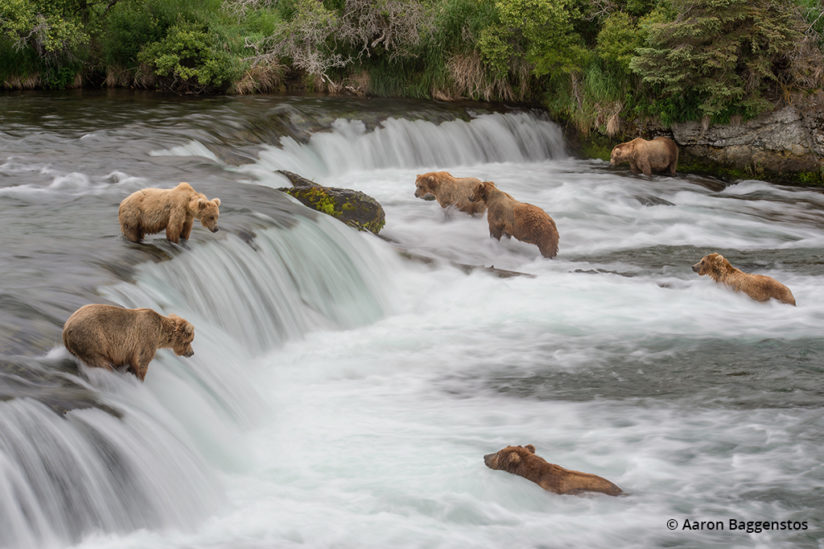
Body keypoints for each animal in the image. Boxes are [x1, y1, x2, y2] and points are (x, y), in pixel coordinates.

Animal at [62, 302, 195, 378]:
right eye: (190, 340)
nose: (192, 353)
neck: (161, 333)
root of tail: (66, 328)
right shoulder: (146, 339)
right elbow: (141, 362)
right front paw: (138, 378)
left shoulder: (127, 351)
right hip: (92, 340)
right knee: (101, 362)